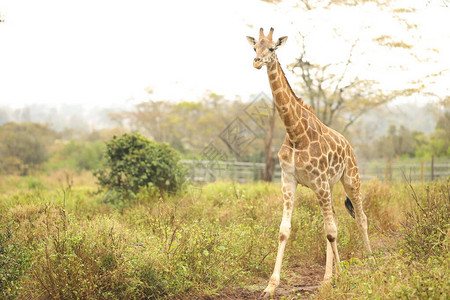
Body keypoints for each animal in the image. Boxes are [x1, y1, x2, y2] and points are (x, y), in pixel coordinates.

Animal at [246, 28, 372, 298]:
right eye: (254, 47)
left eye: (272, 48)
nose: (257, 62)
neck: (295, 133)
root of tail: (348, 145)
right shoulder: (288, 180)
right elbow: (285, 230)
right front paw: (270, 286)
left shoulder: (320, 181)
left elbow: (330, 231)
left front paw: (335, 279)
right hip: (328, 185)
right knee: (336, 220)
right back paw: (332, 275)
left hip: (350, 178)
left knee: (360, 217)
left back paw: (370, 260)